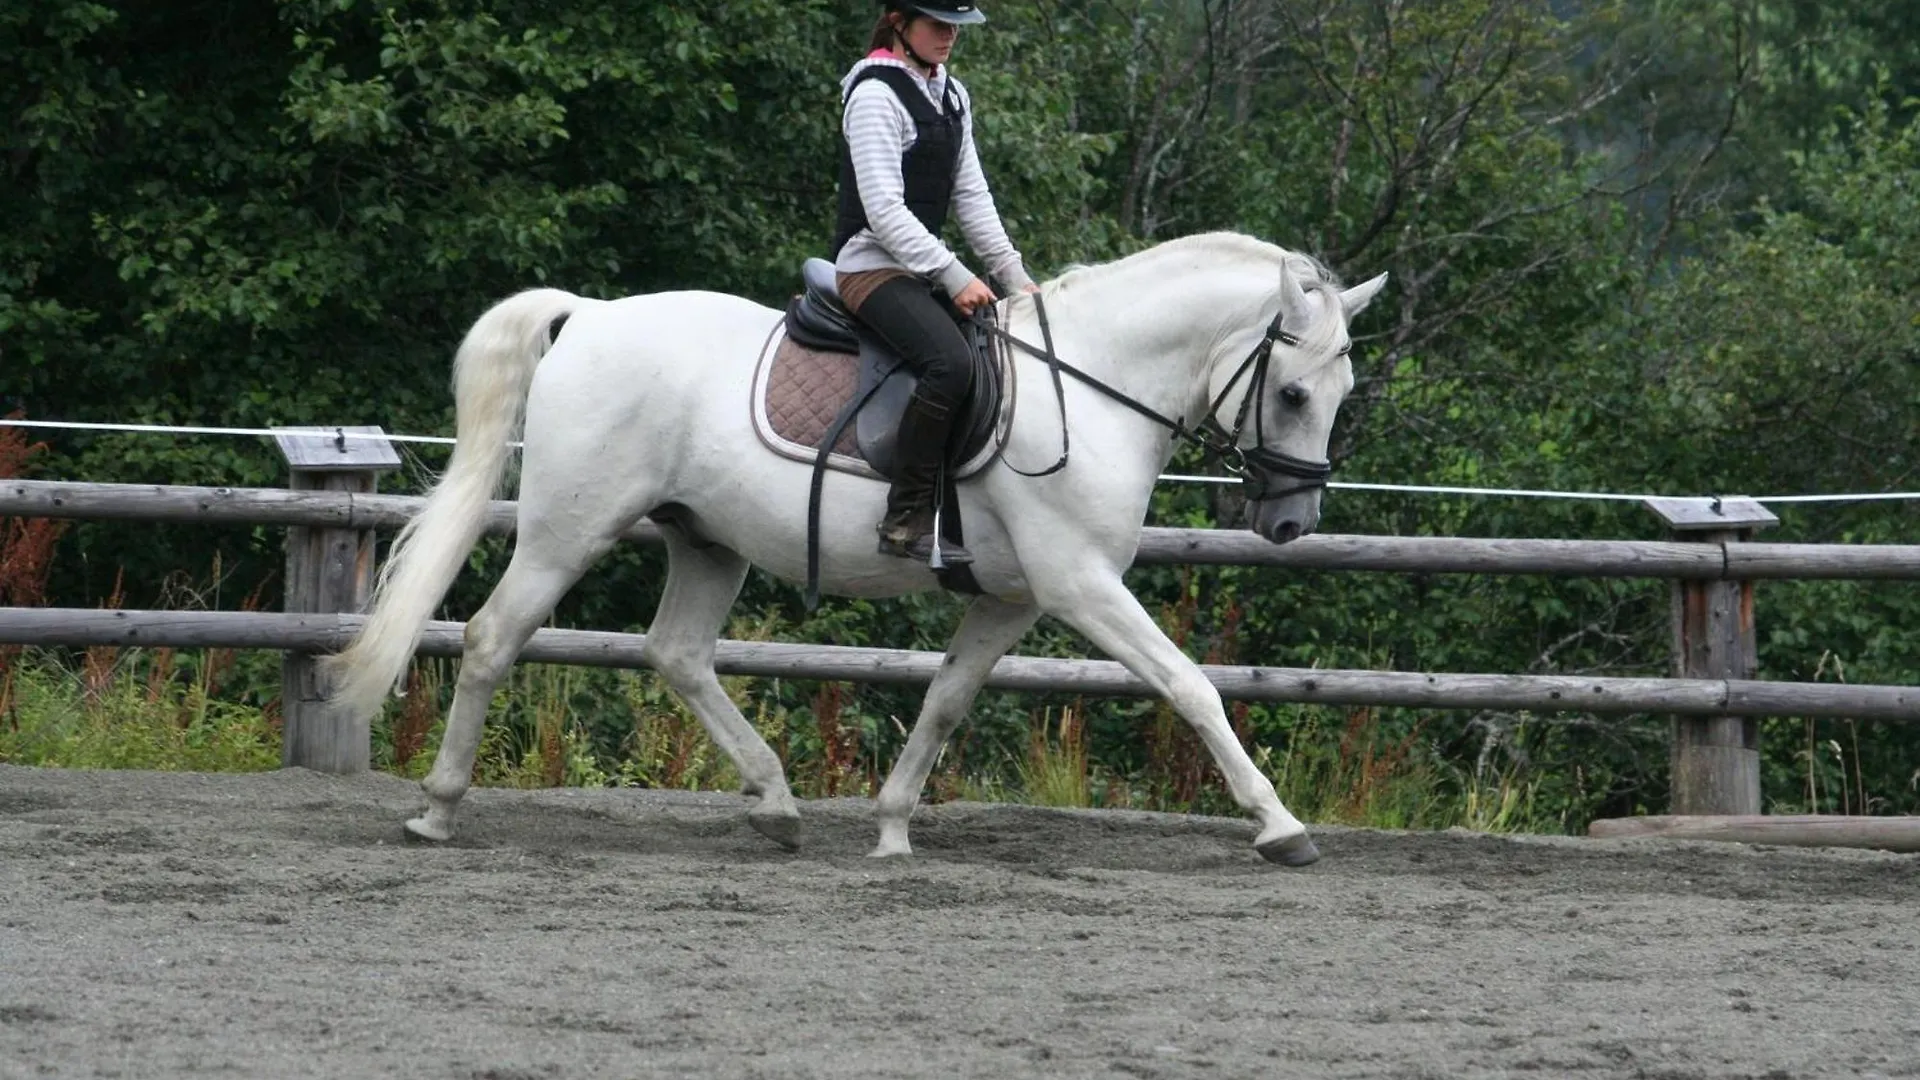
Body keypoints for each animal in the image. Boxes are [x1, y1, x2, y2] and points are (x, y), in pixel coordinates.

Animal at [326, 233, 1382, 864]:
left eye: (1341, 392)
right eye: (1293, 391)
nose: (1290, 526)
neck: (1091, 384)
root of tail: (590, 312)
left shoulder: (1010, 598)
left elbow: (947, 701)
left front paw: (891, 827)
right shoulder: (1080, 584)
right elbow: (1191, 685)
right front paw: (1280, 826)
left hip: (707, 541)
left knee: (677, 653)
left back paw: (775, 804)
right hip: (566, 529)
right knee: (493, 638)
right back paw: (436, 809)